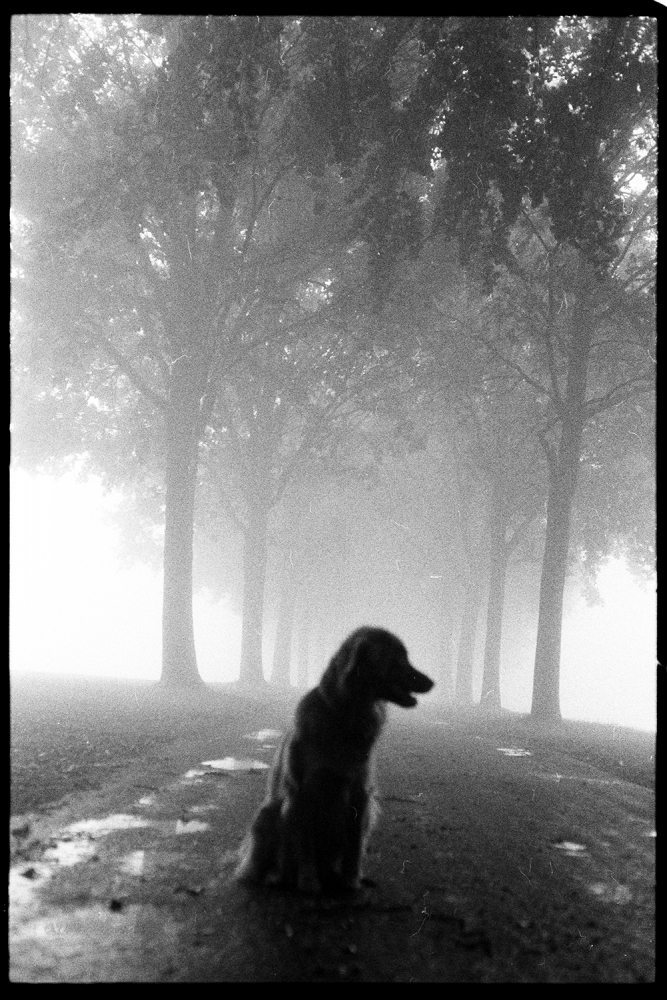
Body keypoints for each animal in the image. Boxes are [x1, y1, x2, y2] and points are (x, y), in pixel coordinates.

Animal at [237, 628, 436, 896]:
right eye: (397, 660)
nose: (431, 682)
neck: (344, 717)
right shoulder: (302, 793)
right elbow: (306, 845)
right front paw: (308, 882)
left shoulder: (360, 794)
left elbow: (354, 846)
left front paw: (350, 880)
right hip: (268, 814)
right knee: (261, 866)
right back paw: (277, 876)